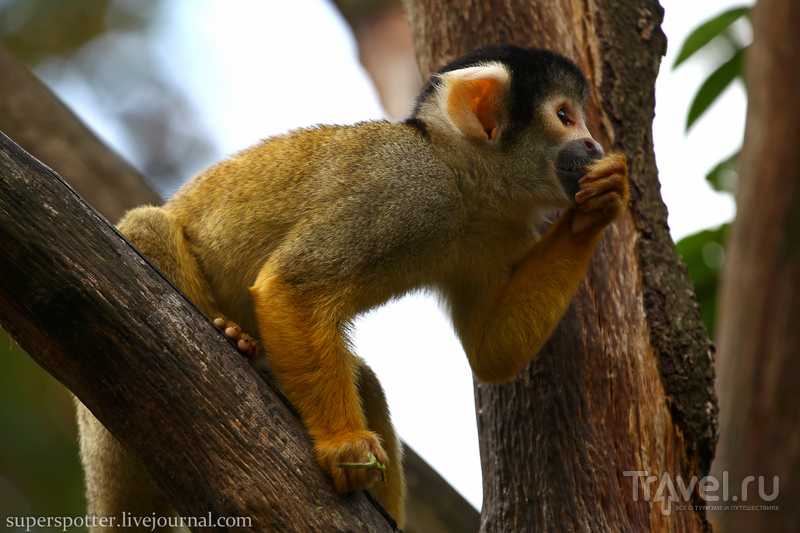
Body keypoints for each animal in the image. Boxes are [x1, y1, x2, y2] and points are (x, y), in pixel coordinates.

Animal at [73, 44, 624, 528]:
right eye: (565, 116)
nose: (594, 145)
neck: (461, 179)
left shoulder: (497, 231)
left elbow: (493, 352)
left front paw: (601, 203)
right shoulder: (404, 189)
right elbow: (294, 285)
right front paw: (344, 444)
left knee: (366, 381)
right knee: (147, 225)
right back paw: (230, 336)